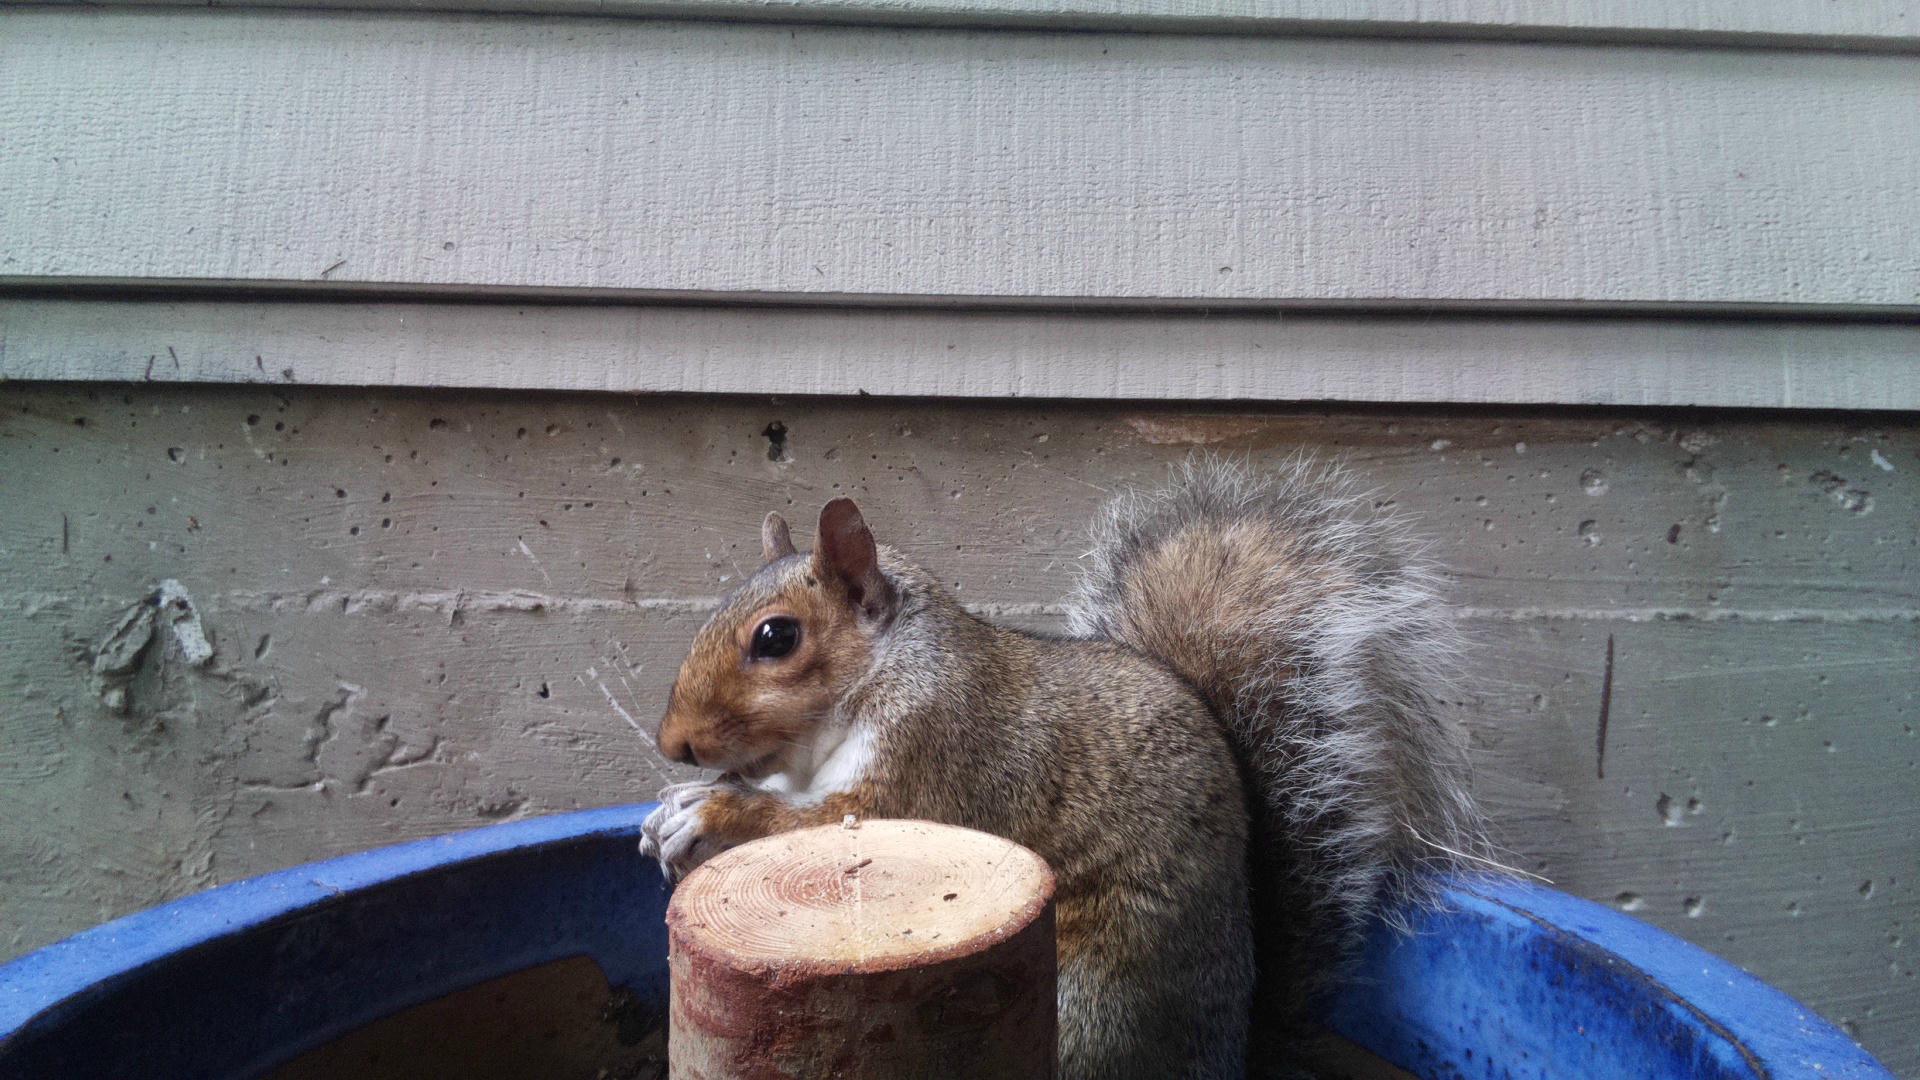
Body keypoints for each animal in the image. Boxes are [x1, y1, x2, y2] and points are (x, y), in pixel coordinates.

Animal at [639, 457, 1492, 1078]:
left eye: (776, 637)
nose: (674, 743)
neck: (884, 675)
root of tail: (1226, 1054)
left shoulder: (940, 756)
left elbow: (833, 823)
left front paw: (705, 811)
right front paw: (670, 814)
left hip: (1085, 1001)